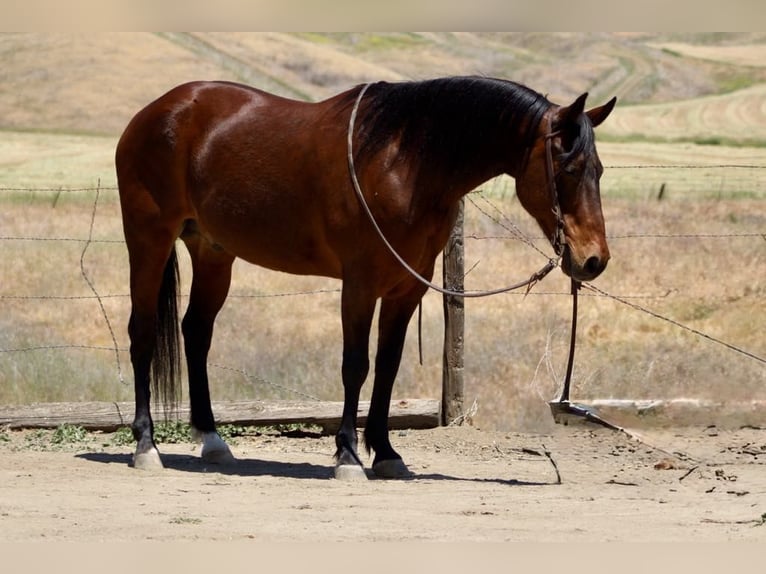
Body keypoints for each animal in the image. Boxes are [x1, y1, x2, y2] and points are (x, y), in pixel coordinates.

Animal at [115, 76, 616, 480]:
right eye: (569, 169)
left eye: (598, 170)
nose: (594, 260)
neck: (406, 164)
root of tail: (156, 111)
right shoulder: (359, 285)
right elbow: (355, 365)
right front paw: (348, 456)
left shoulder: (406, 288)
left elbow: (388, 366)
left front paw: (387, 453)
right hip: (148, 241)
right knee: (142, 333)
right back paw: (146, 445)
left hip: (213, 252)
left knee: (196, 332)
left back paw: (213, 440)